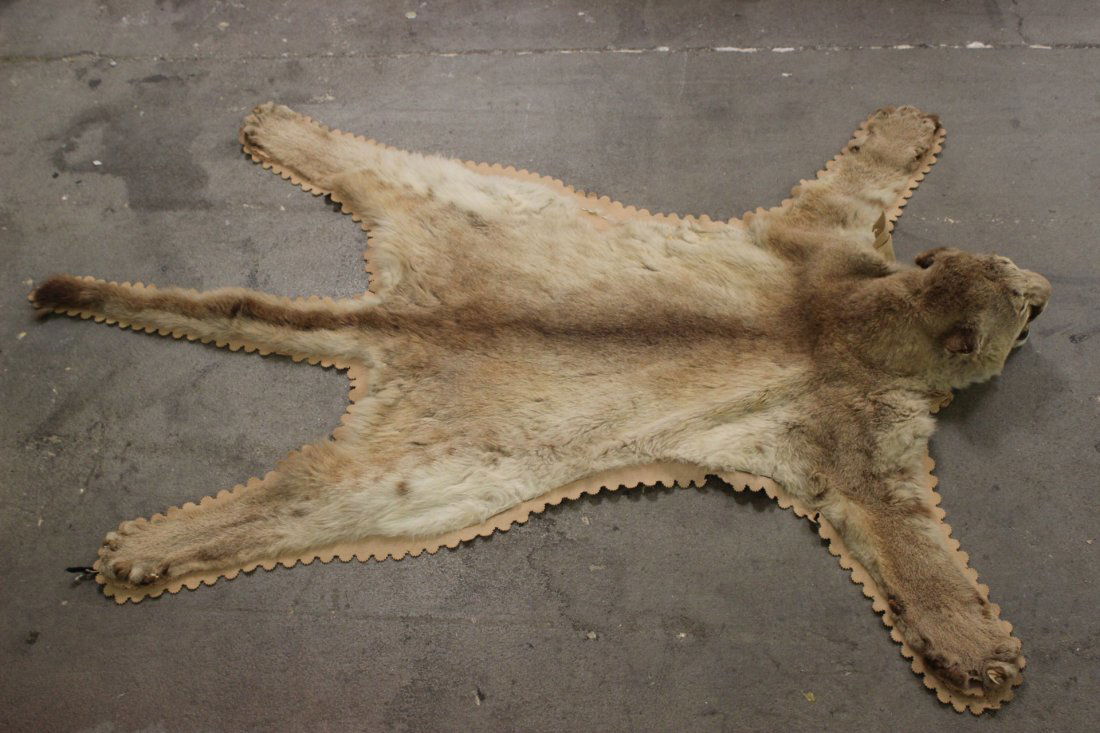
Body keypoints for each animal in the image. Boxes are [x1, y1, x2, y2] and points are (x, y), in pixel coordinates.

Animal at [29, 104, 1049, 708]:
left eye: (1013, 275)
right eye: (1024, 309)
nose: (1046, 291)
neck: (855, 310)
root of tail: (398, 317)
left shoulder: (829, 251)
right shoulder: (860, 424)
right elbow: (914, 544)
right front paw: (978, 652)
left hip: (451, 208)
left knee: (377, 171)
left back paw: (284, 133)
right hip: (440, 475)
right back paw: (145, 552)